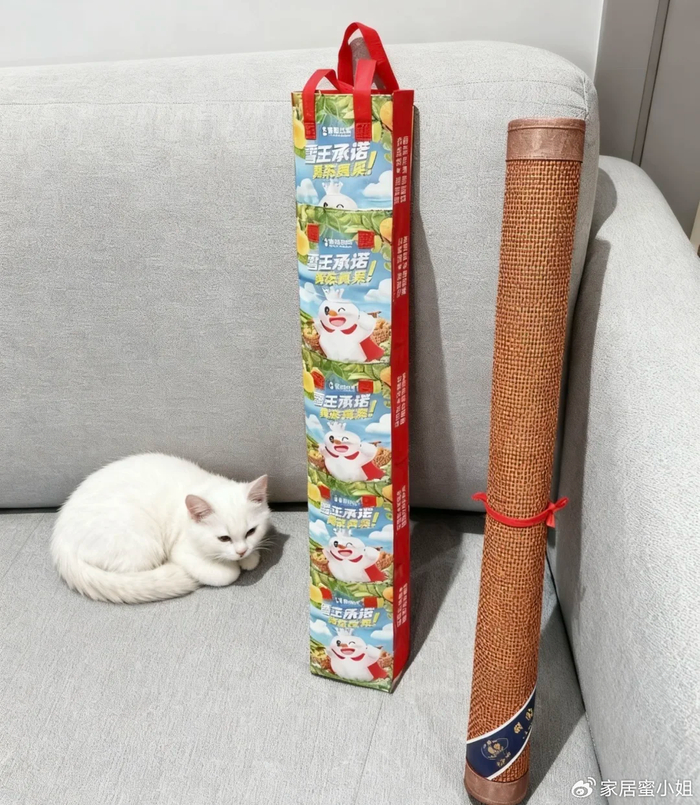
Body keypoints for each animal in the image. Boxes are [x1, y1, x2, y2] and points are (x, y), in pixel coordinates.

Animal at [51, 453, 271, 604]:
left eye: (251, 532)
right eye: (224, 538)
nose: (241, 551)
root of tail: (60, 543)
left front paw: (248, 558)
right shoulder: (181, 550)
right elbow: (226, 575)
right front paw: (233, 566)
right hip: (142, 543)